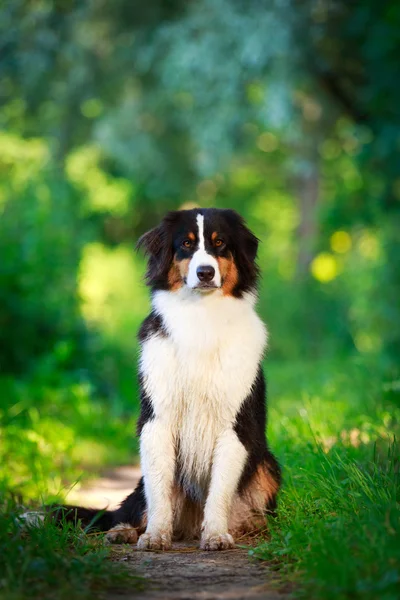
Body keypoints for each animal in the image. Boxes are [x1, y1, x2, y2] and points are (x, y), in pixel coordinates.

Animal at [62, 209, 282, 552]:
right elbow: (159, 491)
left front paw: (216, 534)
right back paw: (124, 531)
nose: (205, 272)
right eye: (186, 244)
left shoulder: (234, 425)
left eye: (220, 243)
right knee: (130, 509)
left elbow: (220, 490)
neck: (202, 317)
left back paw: (251, 528)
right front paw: (155, 535)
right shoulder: (157, 419)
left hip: (268, 465)